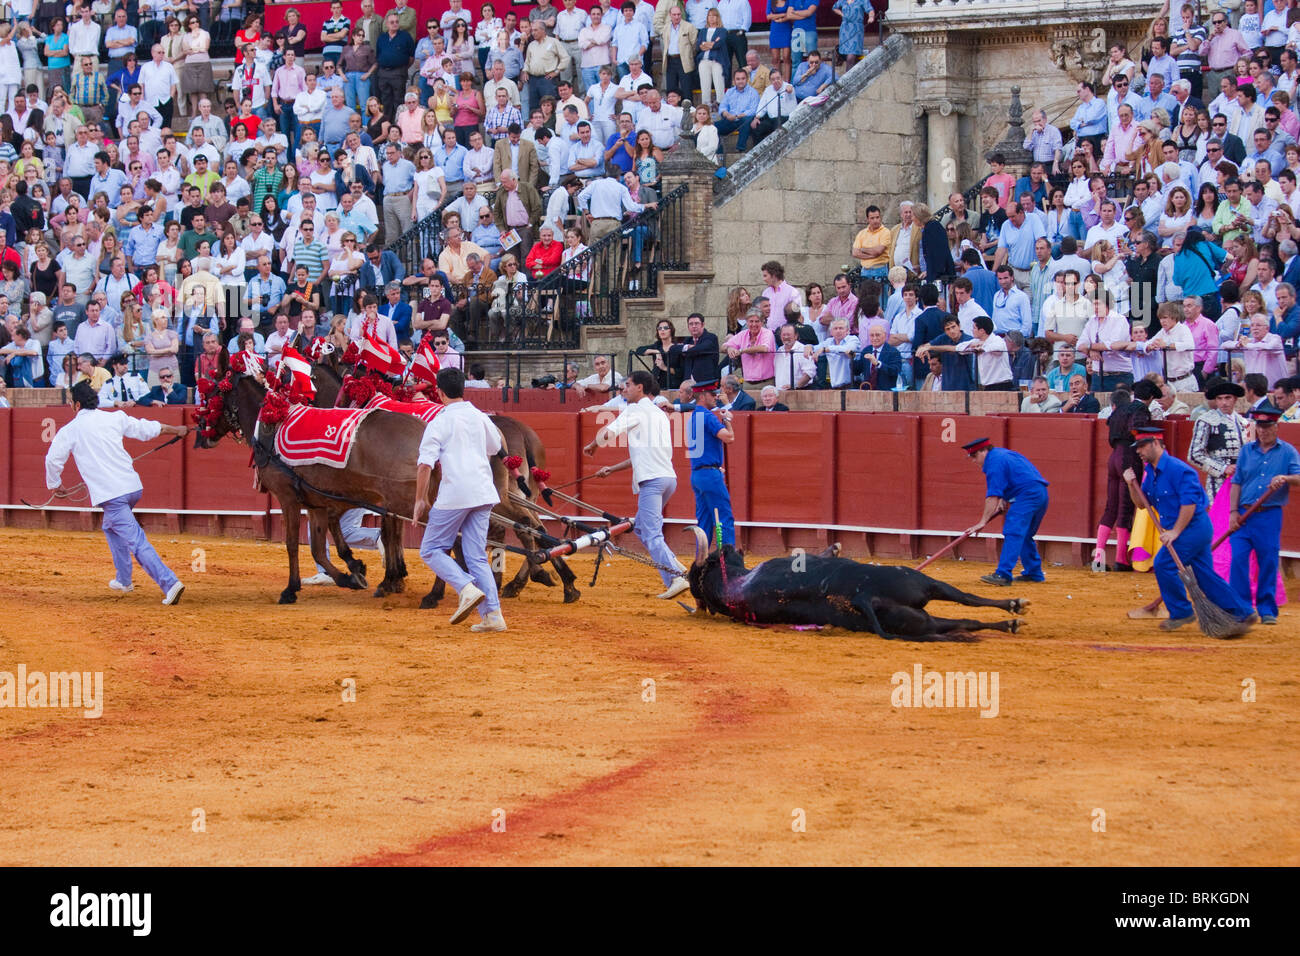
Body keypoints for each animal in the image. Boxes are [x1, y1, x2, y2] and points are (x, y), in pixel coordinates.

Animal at [686, 530, 1029, 642]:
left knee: (961, 621)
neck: (735, 586)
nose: (728, 545)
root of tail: (863, 596)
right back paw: (1014, 611)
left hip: (918, 621)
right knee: (966, 601)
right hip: (922, 584)